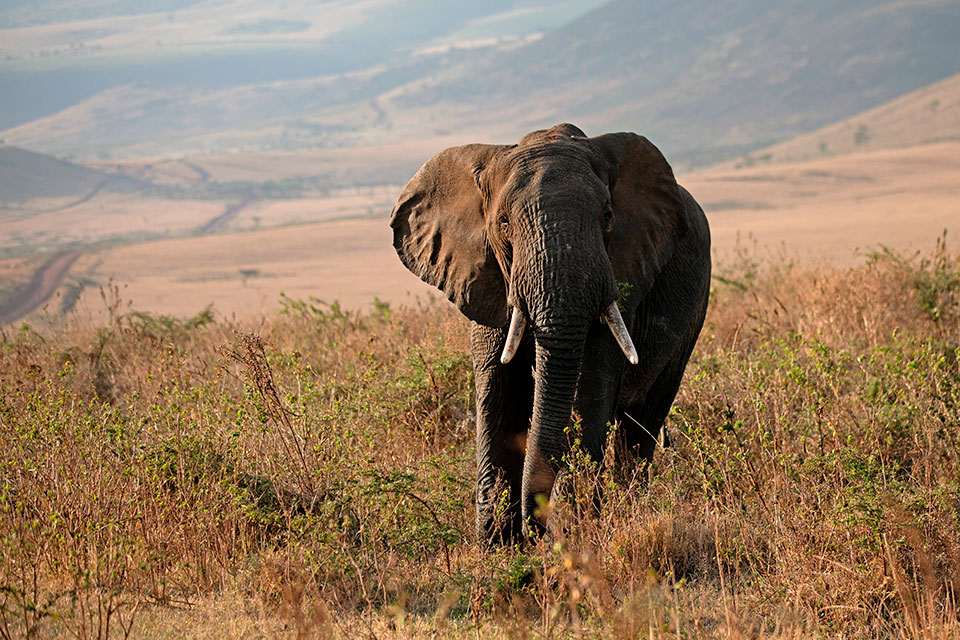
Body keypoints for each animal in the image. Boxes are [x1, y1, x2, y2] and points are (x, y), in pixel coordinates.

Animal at [390, 123, 711, 542]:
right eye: (504, 223)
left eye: (608, 216)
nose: (535, 524)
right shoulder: (485, 278)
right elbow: (497, 390)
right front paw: (498, 545)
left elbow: (587, 390)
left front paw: (572, 532)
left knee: (641, 425)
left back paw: (629, 514)